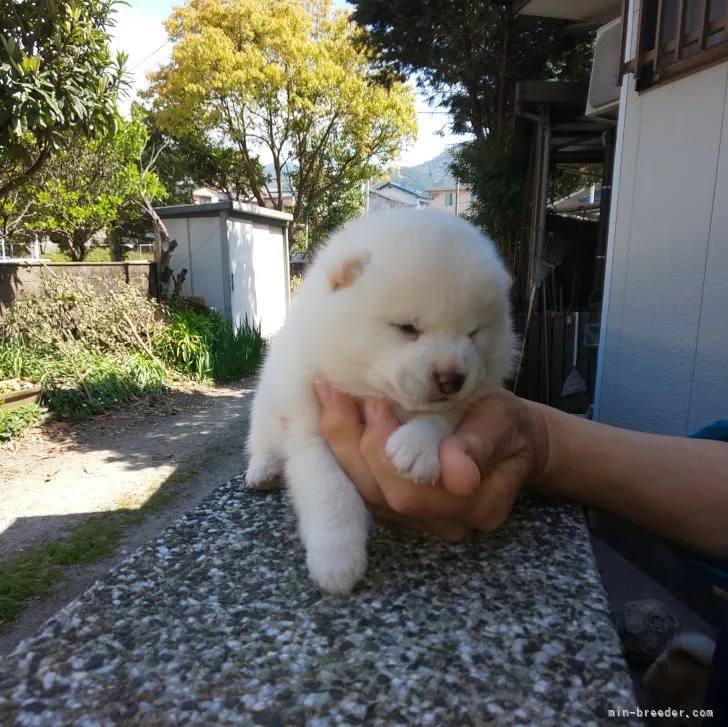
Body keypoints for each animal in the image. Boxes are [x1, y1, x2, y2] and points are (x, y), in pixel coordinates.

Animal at [246, 208, 516, 596]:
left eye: (473, 332)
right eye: (407, 328)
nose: (452, 378)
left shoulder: (475, 389)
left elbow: (444, 414)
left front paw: (416, 447)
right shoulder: (309, 428)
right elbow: (330, 490)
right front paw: (336, 559)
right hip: (264, 408)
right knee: (261, 442)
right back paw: (263, 470)